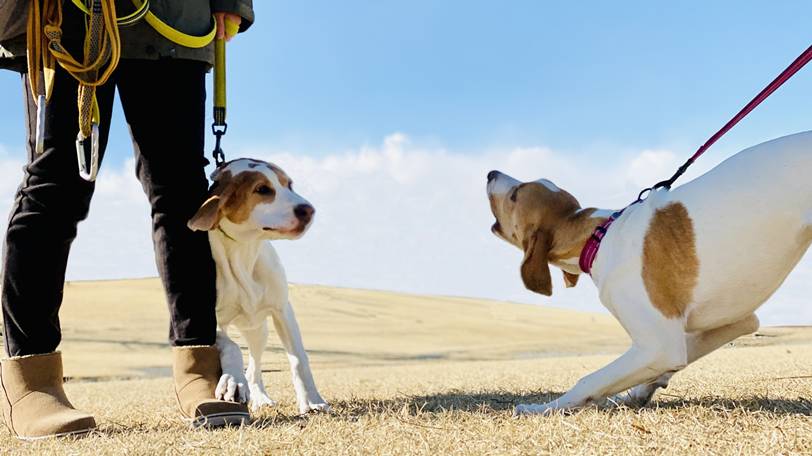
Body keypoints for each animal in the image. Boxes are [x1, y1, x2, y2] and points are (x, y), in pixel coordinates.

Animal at [189, 159, 328, 416]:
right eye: (262, 189)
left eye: (289, 184)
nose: (308, 210)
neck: (243, 251)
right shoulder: (208, 320)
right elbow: (231, 345)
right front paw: (232, 380)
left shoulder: (283, 310)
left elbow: (299, 359)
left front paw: (312, 400)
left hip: (258, 329)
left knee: (255, 362)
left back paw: (261, 397)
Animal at [486, 130, 812, 416]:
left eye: (515, 195)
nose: (490, 172)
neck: (598, 236)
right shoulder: (736, 321)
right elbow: (680, 355)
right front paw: (639, 392)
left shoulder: (660, 344)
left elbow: (588, 379)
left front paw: (542, 408)